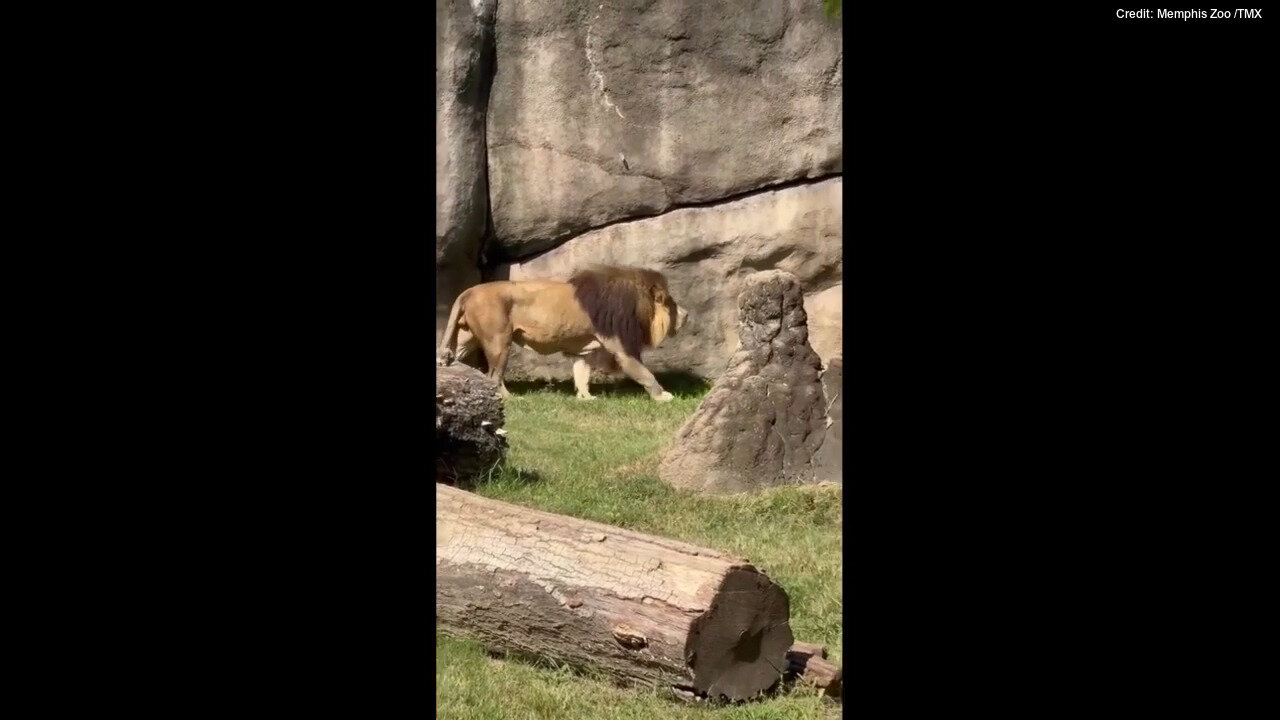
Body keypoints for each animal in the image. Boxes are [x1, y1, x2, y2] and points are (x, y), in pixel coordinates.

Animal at [435, 263, 691, 397]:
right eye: (671, 304)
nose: (687, 315)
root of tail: (469, 290)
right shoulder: (622, 348)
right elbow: (645, 374)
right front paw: (664, 396)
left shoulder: (587, 350)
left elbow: (582, 373)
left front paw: (586, 398)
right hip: (499, 341)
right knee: (494, 375)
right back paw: (509, 398)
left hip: (466, 338)